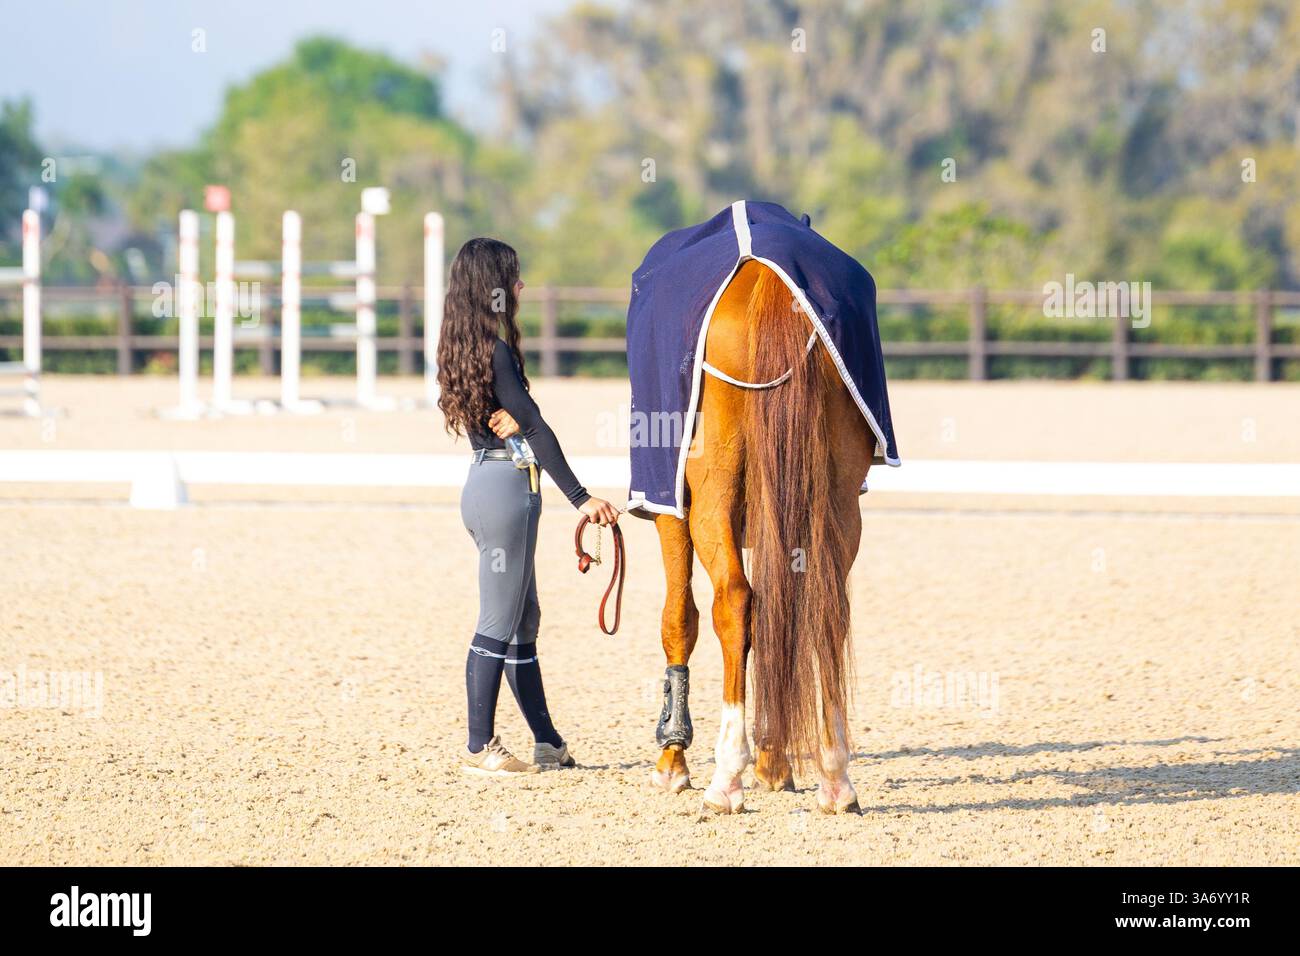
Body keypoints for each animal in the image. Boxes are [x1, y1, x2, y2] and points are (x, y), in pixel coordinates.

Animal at [647, 258, 877, 814]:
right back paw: (835, 778)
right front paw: (776, 763)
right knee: (826, 609)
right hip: (837, 502)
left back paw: (726, 776)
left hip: (712, 497)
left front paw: (673, 762)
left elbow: (678, 619)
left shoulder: (672, 512)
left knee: (733, 602)